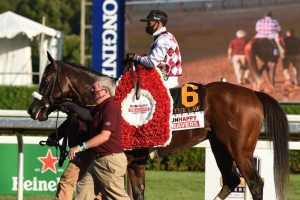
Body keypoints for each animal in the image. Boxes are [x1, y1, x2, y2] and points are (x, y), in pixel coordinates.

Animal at [27, 52, 290, 200]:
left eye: (46, 79)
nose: (32, 109)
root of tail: (253, 94)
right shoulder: (135, 162)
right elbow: (137, 193)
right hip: (219, 146)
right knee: (232, 180)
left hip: (239, 149)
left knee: (255, 183)